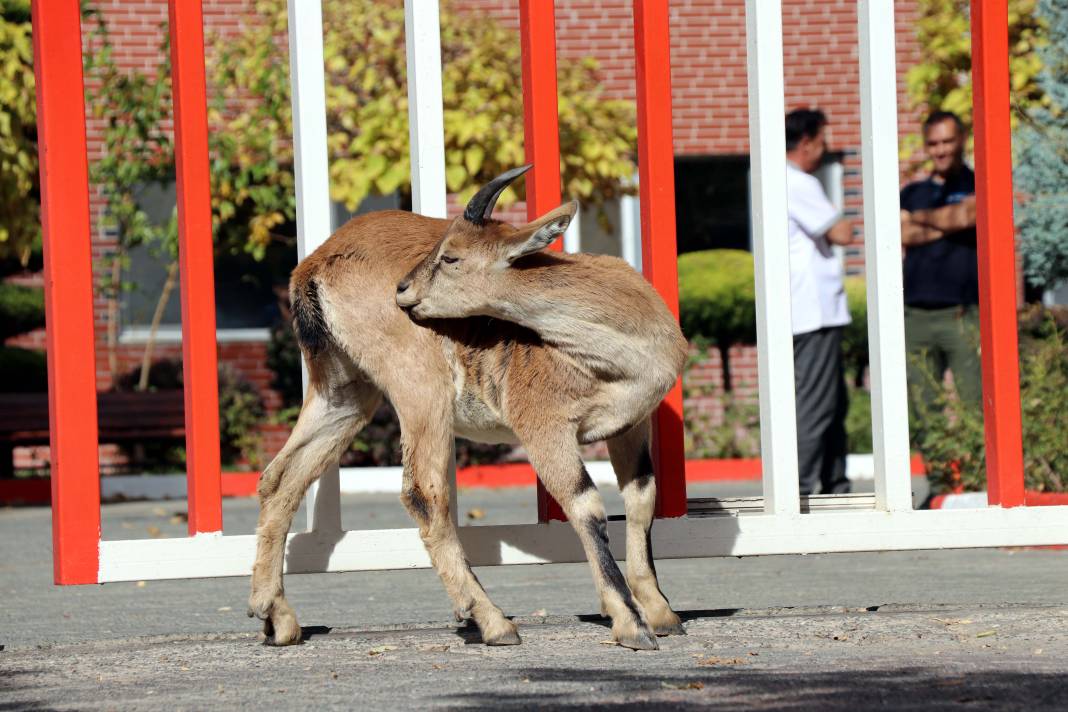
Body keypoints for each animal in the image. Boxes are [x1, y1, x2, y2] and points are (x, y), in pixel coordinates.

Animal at [247, 164, 683, 649]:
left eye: (451, 257)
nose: (404, 288)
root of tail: (312, 267)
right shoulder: (542, 424)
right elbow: (585, 504)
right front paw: (631, 622)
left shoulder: (632, 424)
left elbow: (642, 500)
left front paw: (662, 611)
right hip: (421, 389)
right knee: (422, 493)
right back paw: (492, 621)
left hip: (344, 392)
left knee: (281, 478)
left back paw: (276, 615)